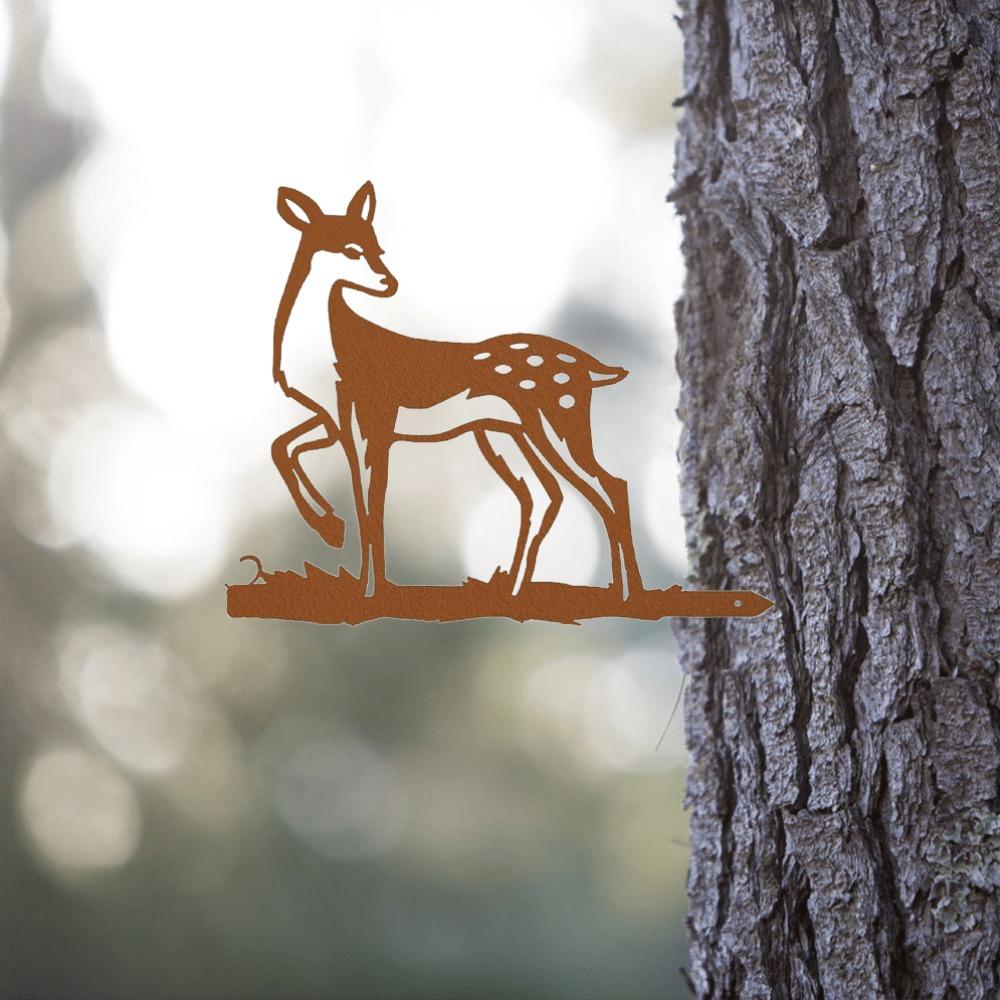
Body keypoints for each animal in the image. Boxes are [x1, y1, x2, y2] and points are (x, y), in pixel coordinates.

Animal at [271, 182, 643, 600]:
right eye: (352, 249)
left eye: (377, 248)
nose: (389, 283)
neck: (338, 350)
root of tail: (590, 366)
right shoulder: (337, 416)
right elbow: (287, 450)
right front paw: (334, 533)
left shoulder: (377, 413)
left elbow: (371, 501)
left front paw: (371, 588)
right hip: (504, 432)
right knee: (546, 494)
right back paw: (519, 589)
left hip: (556, 416)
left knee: (609, 485)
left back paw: (628, 593)